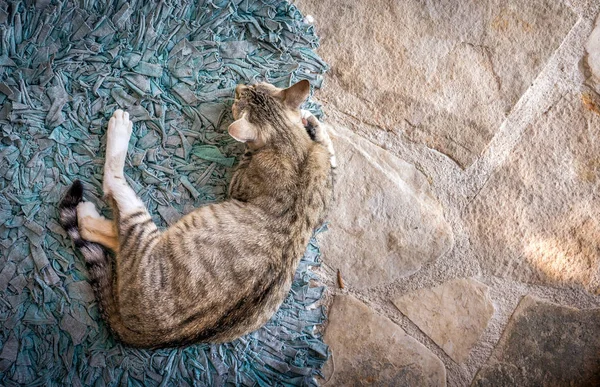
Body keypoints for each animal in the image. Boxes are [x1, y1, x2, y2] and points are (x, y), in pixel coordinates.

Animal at [58, 80, 336, 350]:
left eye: (238, 99)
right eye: (254, 84)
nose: (237, 87)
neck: (291, 145)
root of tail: (143, 337)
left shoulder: (239, 183)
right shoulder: (323, 197)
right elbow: (329, 151)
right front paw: (311, 121)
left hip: (141, 234)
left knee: (106, 201)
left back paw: (116, 138)